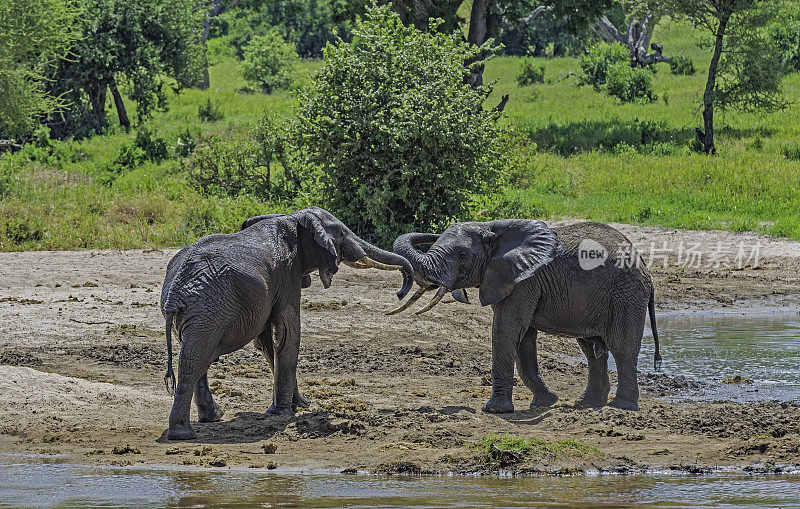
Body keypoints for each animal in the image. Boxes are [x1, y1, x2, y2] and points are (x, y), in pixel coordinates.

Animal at [160, 204, 416, 438]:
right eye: (342, 234)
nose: (400, 293)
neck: (293, 218)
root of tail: (175, 292)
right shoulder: (287, 274)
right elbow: (288, 332)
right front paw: (284, 413)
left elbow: (267, 343)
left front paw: (297, 405)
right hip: (208, 309)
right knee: (194, 360)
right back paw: (183, 433)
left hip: (200, 312)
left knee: (196, 355)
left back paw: (212, 417)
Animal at [390, 220, 660, 410]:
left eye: (462, 255)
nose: (400, 293)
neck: (492, 228)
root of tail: (643, 264)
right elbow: (523, 336)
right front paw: (545, 402)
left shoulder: (524, 280)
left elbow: (506, 329)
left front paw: (495, 410)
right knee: (592, 348)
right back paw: (587, 404)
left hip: (626, 294)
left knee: (621, 347)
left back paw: (621, 406)